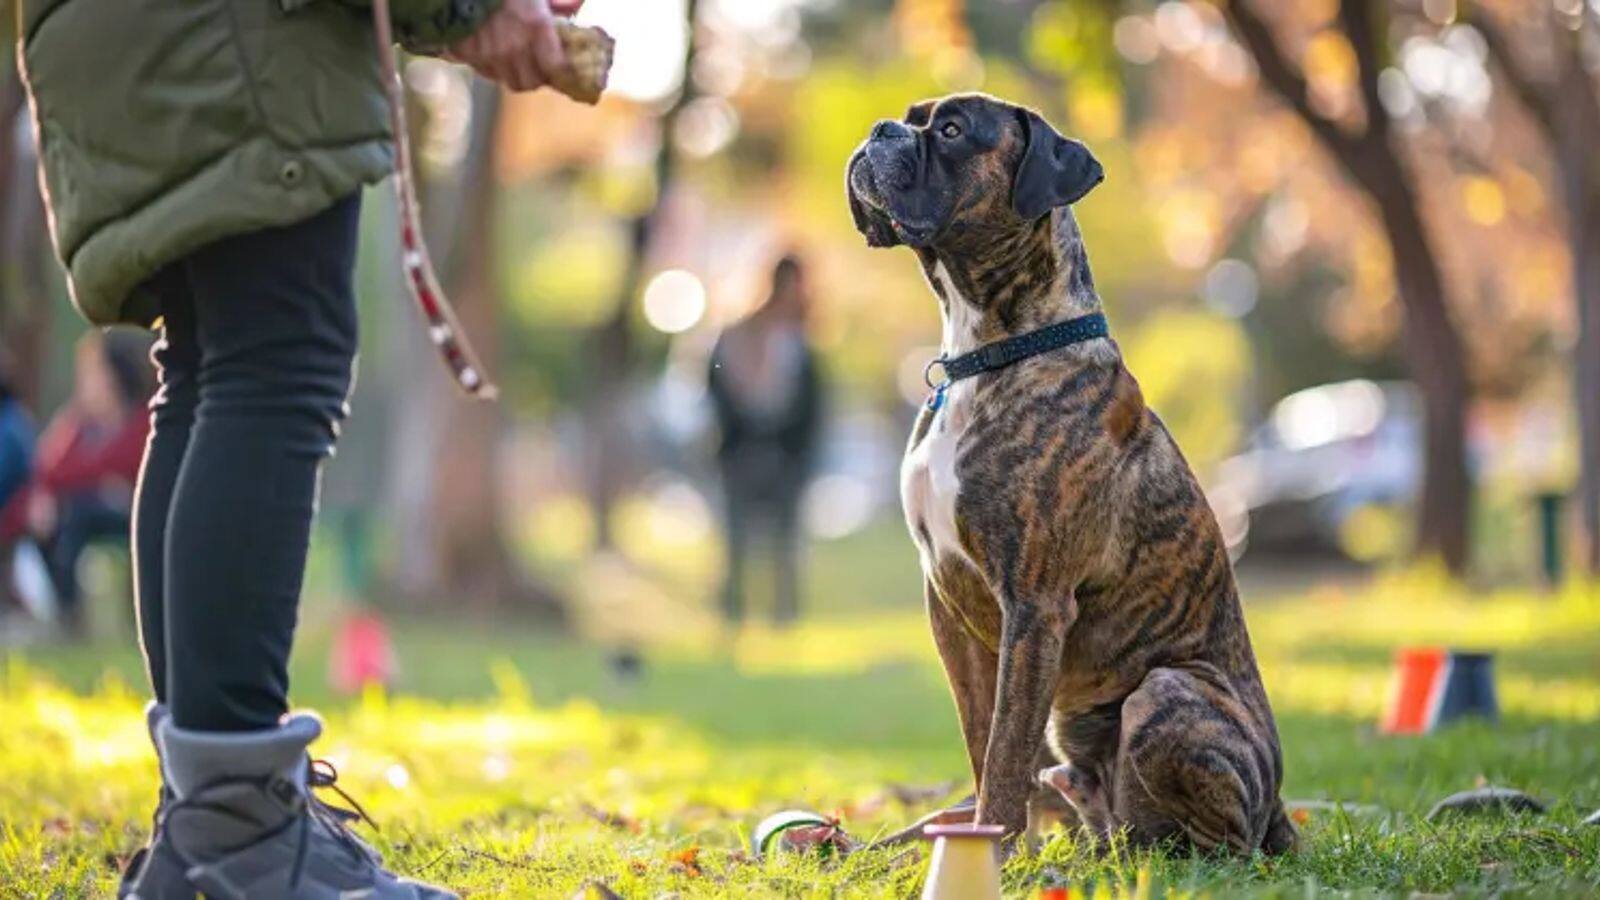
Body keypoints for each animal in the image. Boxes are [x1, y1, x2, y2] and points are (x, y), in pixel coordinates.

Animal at [844, 94, 1292, 851]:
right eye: (912, 116)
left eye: (953, 130)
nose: (880, 130)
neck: (989, 351)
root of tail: (1283, 809)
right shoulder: (949, 606)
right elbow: (986, 741)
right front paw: (981, 840)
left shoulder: (1034, 606)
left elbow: (1004, 750)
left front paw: (993, 847)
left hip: (1167, 692)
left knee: (1224, 845)